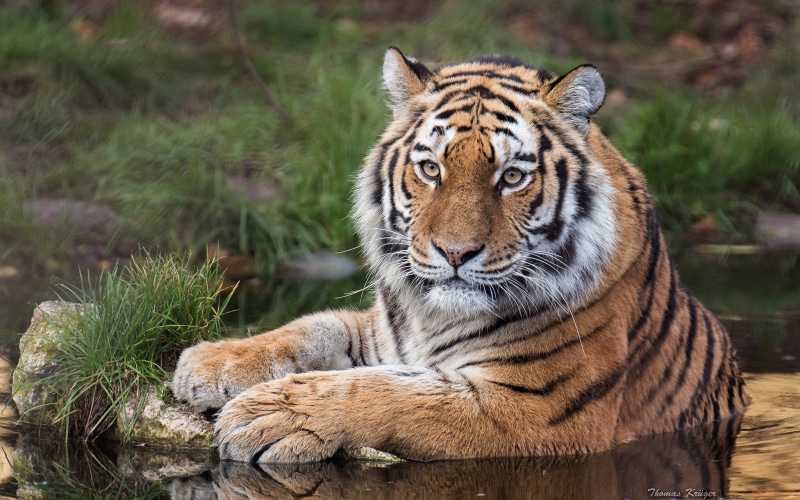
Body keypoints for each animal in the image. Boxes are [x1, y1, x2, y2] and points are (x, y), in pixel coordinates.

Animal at [172, 47, 748, 463]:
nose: (455, 252)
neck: (433, 318)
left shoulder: (533, 409)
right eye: (431, 169)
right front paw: (212, 362)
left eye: (511, 177)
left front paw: (270, 415)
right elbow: (315, 325)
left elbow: (389, 393)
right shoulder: (384, 333)